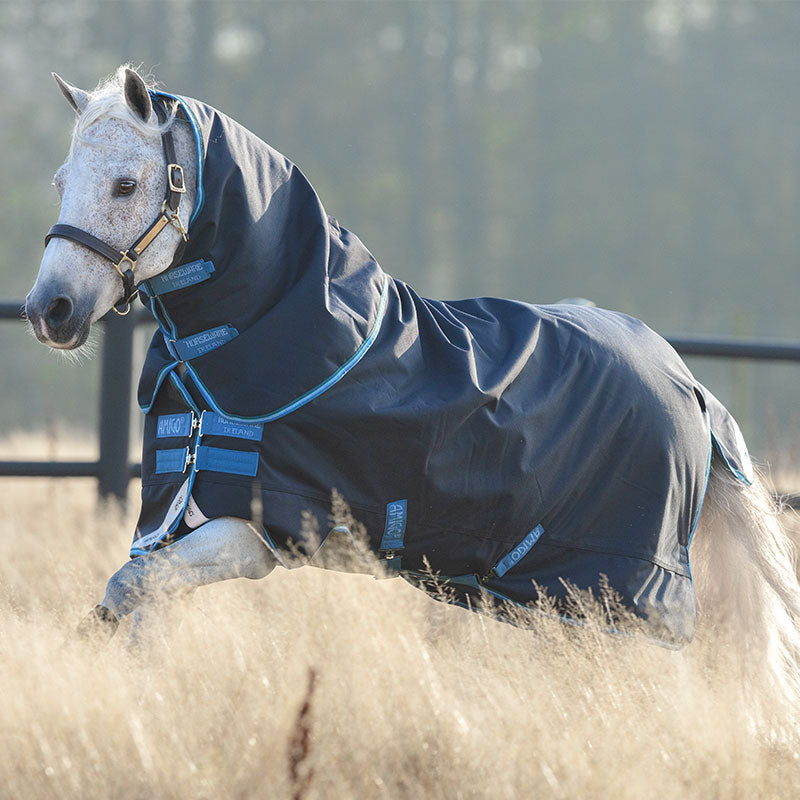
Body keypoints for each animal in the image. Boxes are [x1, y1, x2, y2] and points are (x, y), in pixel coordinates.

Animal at [25, 67, 800, 719]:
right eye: (62, 180)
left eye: (127, 185)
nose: (49, 311)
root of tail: (691, 386)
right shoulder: (174, 519)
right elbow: (143, 607)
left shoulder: (255, 533)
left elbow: (124, 592)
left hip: (612, 596)